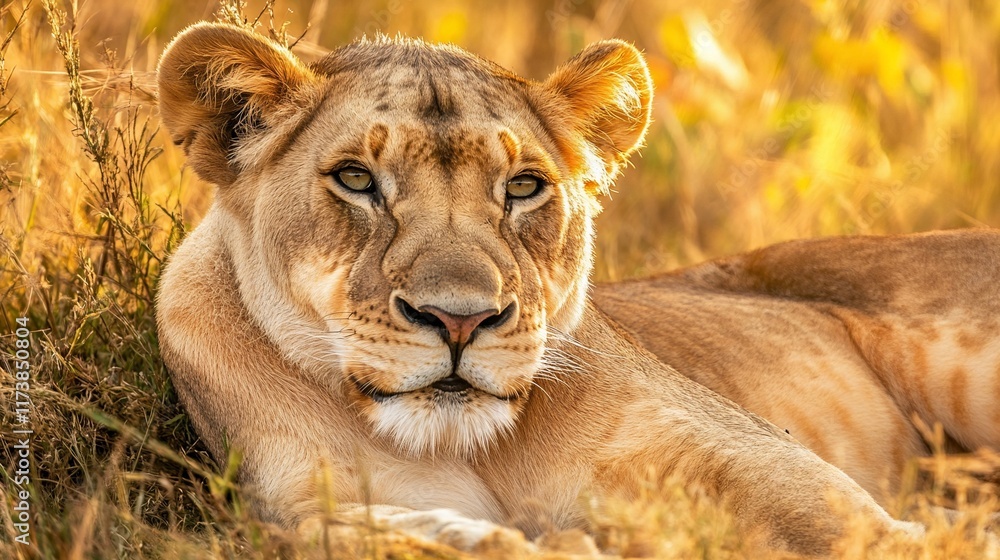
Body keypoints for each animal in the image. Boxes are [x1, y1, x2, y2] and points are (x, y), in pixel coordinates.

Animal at [155, 22, 931, 556]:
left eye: (524, 188)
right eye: (355, 179)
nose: (459, 321)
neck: (468, 449)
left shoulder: (774, 473)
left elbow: (869, 535)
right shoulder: (292, 503)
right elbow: (357, 530)